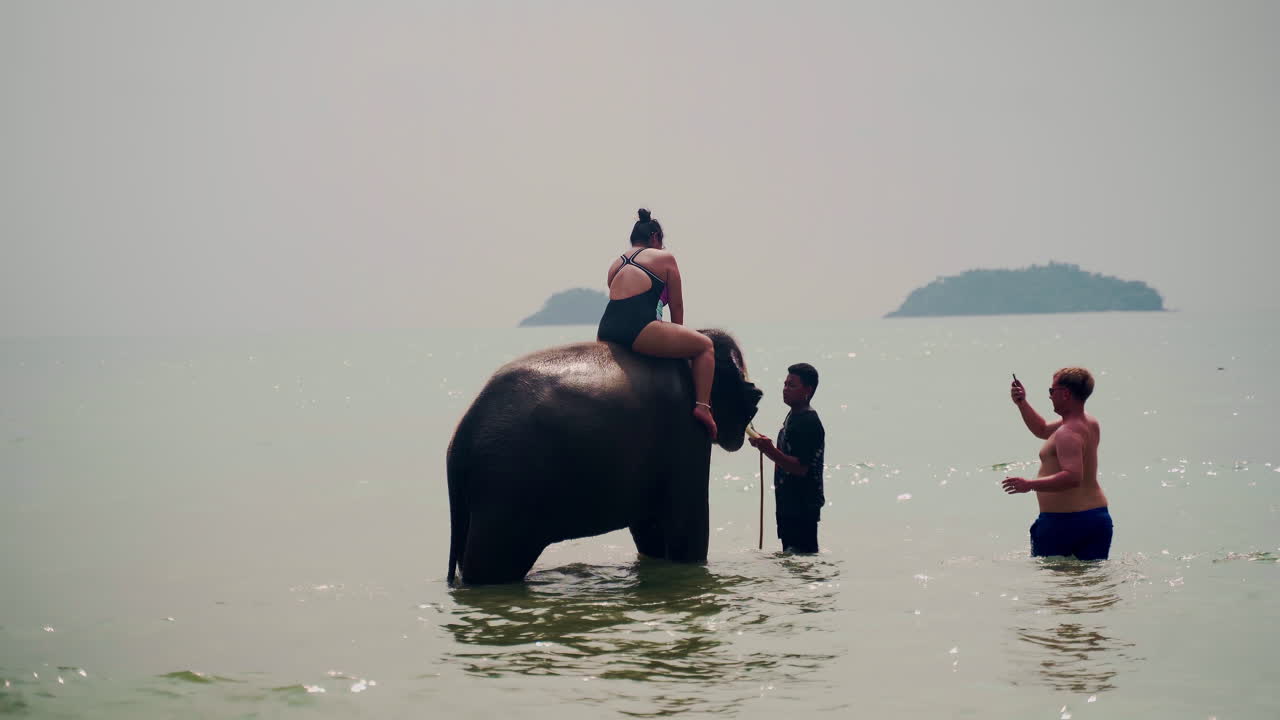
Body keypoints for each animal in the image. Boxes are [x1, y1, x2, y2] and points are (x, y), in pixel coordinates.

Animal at [446, 329, 762, 585]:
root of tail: (460, 440)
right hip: (507, 492)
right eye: (741, 378)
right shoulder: (686, 431)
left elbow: (648, 529)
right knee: (491, 565)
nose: (758, 394)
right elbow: (686, 526)